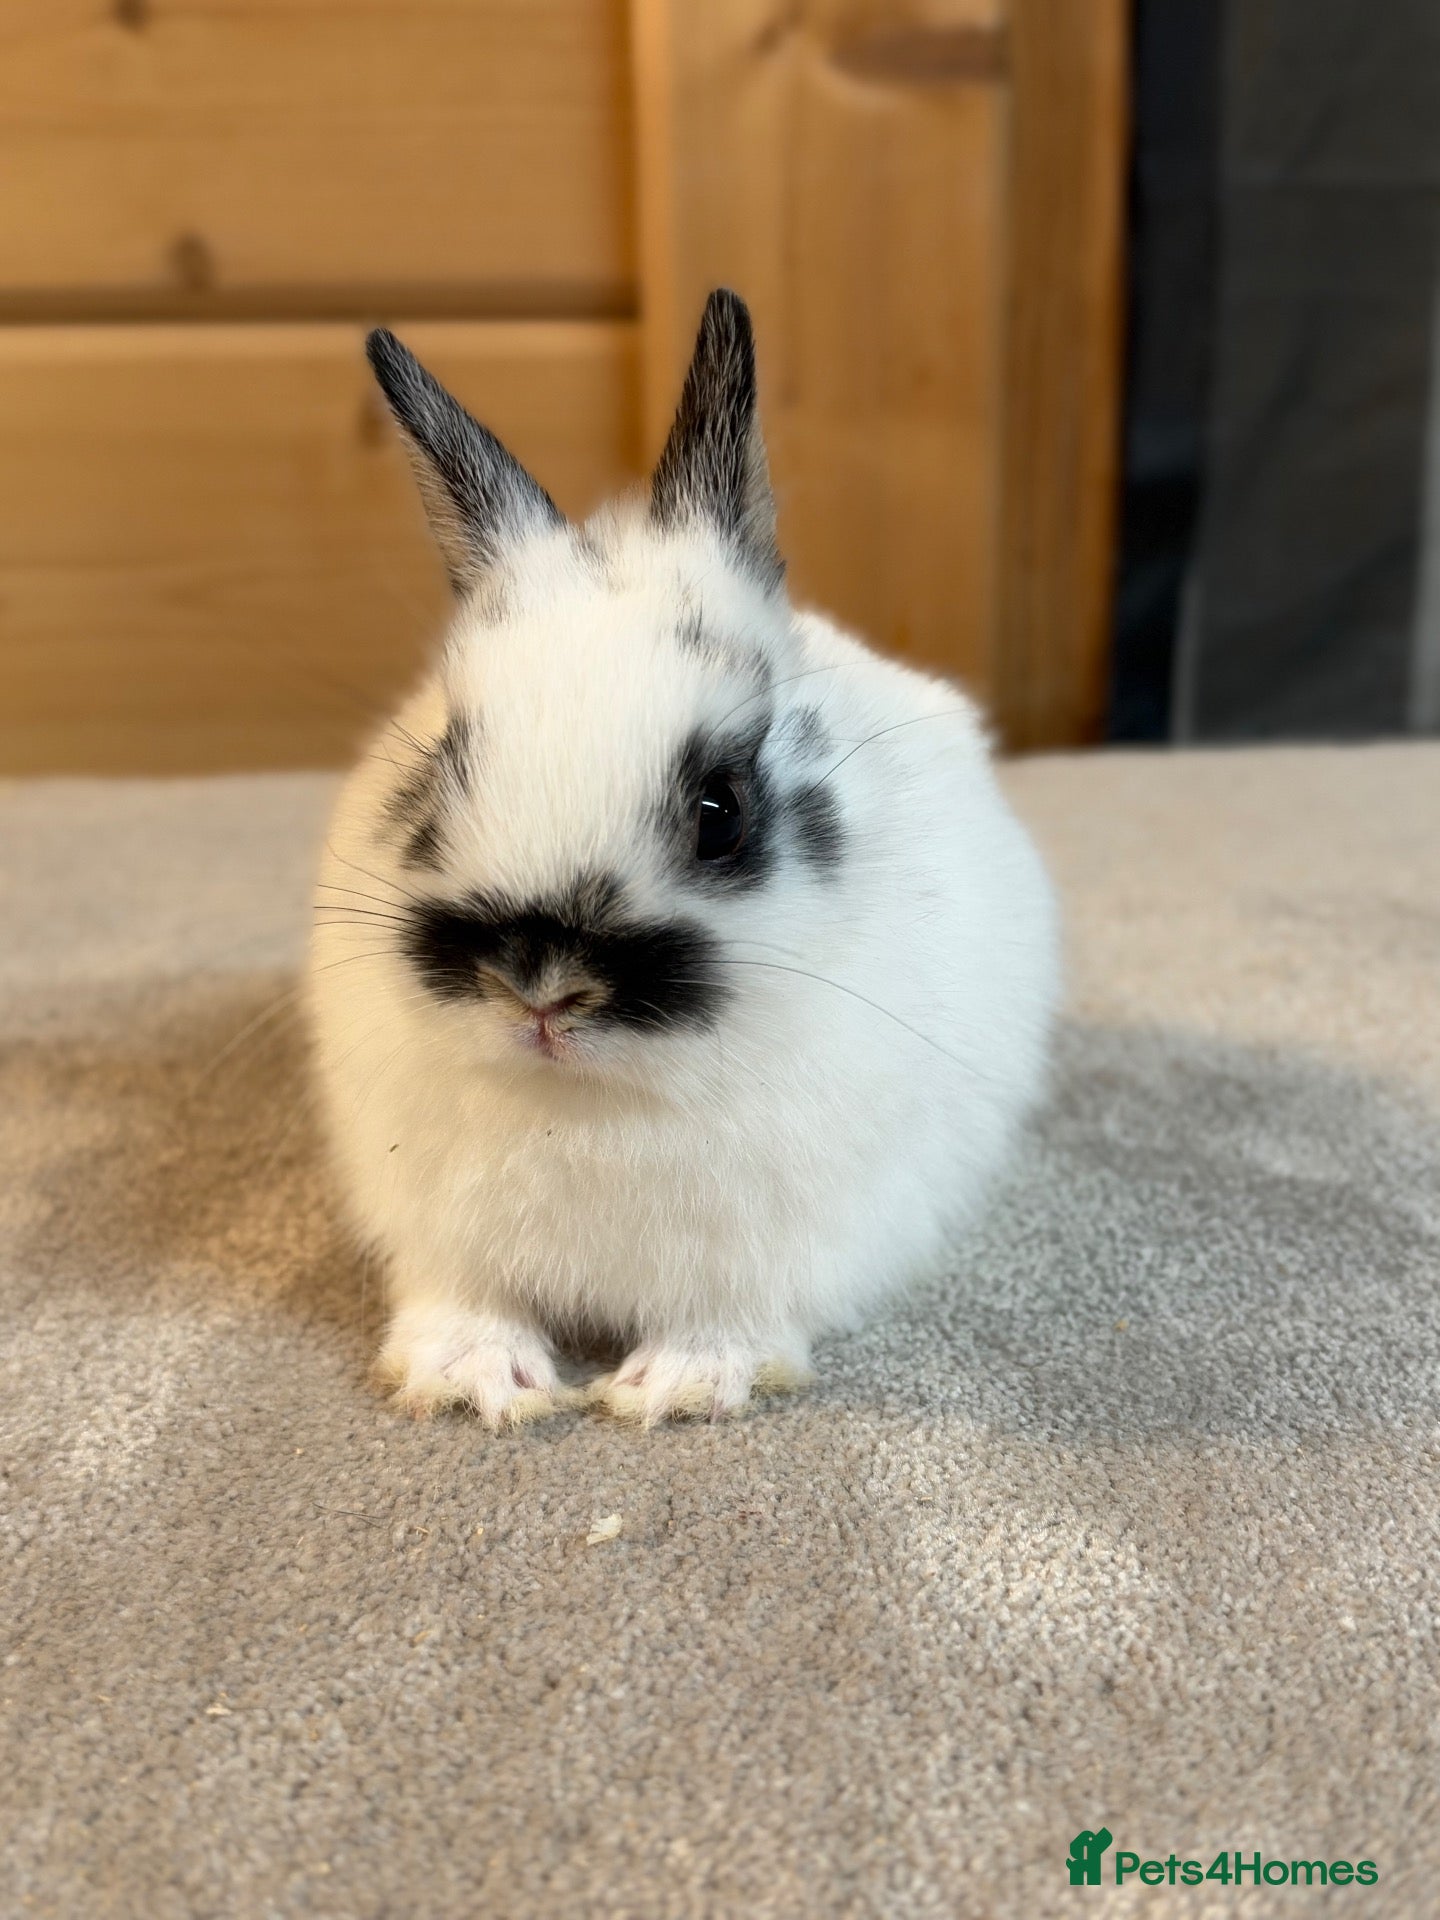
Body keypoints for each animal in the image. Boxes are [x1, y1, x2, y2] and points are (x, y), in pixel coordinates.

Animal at [308, 289, 1059, 1428]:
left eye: (721, 812)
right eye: (442, 769)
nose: (540, 986)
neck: (592, 1105)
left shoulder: (786, 1236)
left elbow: (734, 1313)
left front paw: (679, 1385)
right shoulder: (434, 1222)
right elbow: (466, 1297)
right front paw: (476, 1378)